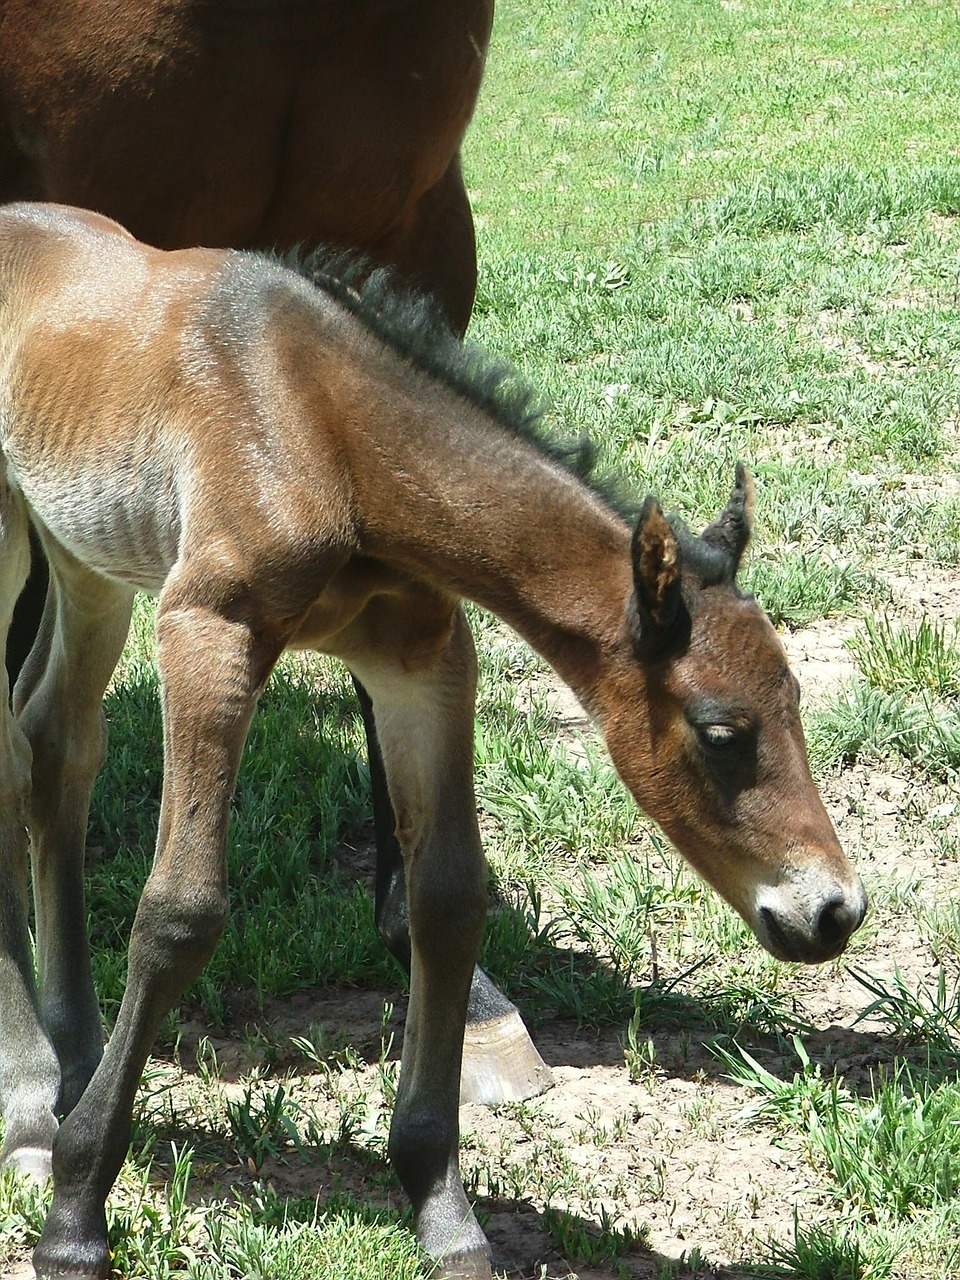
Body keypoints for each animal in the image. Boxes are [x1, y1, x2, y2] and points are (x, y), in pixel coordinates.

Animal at [0, 202, 870, 1280]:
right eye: (721, 731)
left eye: (796, 697)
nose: (833, 911)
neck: (323, 427)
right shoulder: (208, 630)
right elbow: (180, 912)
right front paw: (77, 1214)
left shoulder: (424, 659)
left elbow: (448, 900)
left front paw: (444, 1209)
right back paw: (32, 1099)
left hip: (85, 553)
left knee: (53, 745)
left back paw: (70, 1057)